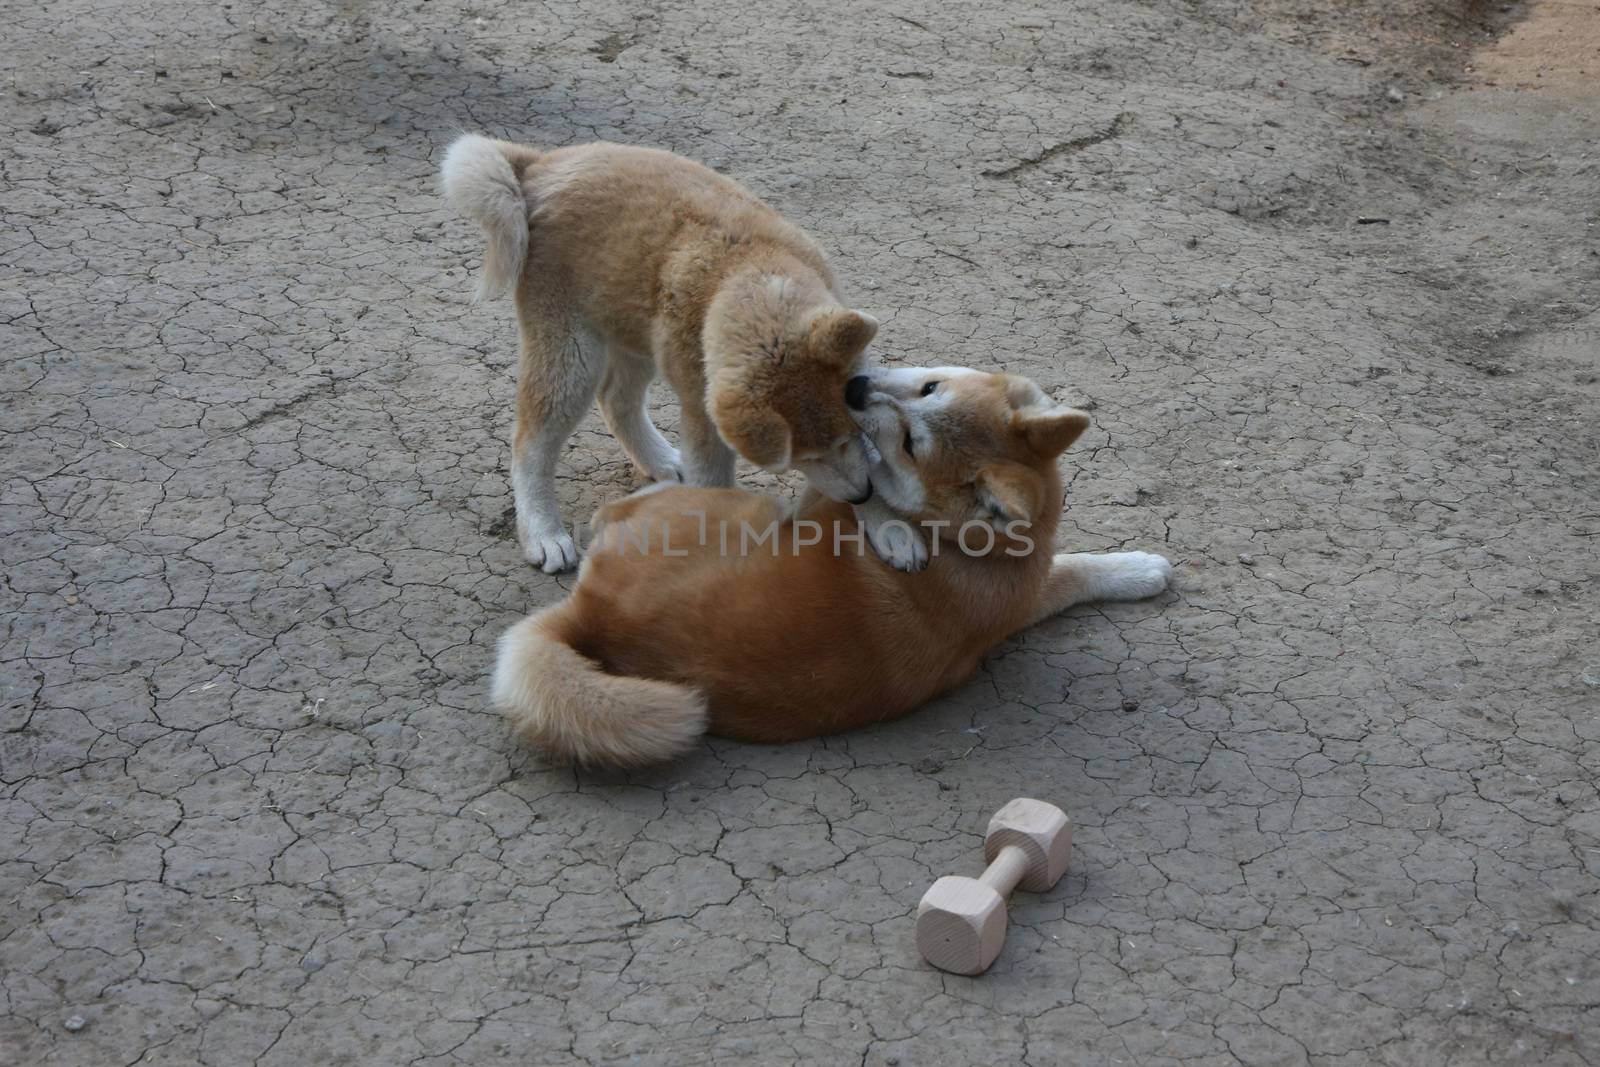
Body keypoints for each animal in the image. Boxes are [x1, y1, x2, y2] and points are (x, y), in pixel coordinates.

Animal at [444, 139, 883, 575]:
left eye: (850, 434)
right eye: (804, 458)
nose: (862, 495)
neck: (743, 266)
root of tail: (539, 166)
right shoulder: (702, 412)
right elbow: (713, 483)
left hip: (633, 330)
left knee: (616, 401)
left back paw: (658, 459)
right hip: (572, 350)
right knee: (531, 442)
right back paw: (543, 532)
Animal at [489, 369, 1177, 767]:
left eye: (913, 444)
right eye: (930, 389)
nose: (853, 389)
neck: (968, 546)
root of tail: (589, 618)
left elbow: (1069, 572)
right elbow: (1066, 569)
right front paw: (1137, 567)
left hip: (746, 508)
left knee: (615, 507)